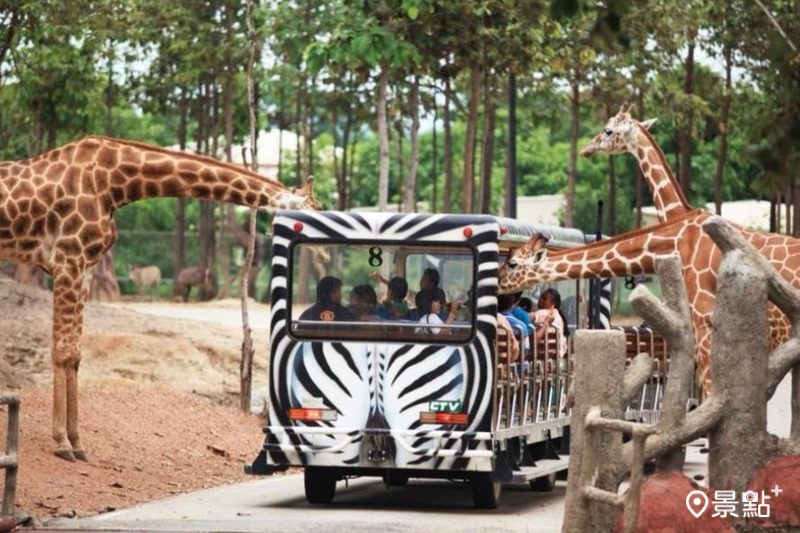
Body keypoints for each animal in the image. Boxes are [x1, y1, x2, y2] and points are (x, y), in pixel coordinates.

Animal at [3, 135, 322, 460]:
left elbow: (76, 354)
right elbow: (62, 351)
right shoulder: (67, 261)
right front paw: (62, 442)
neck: (114, 183)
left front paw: (77, 441)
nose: (326, 251)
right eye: (314, 211)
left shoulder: (85, 268)